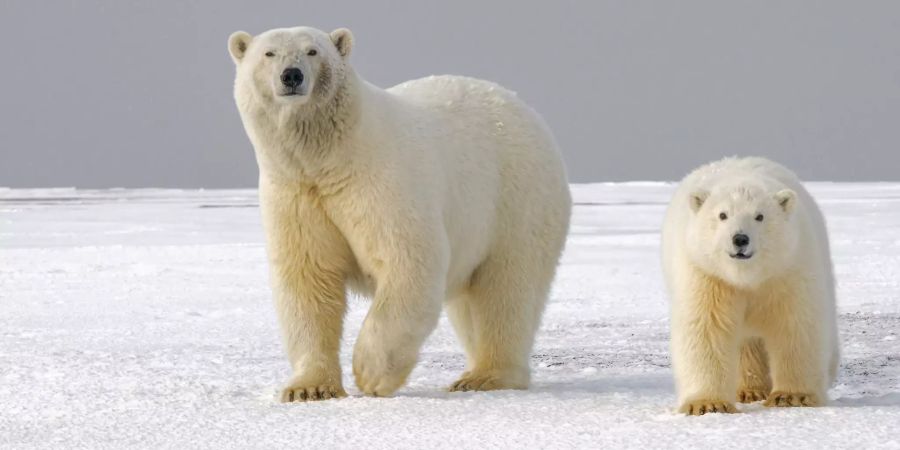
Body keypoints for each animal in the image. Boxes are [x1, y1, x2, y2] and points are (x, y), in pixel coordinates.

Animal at [229, 27, 572, 400]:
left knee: (506, 289)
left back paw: (486, 376)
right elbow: (308, 279)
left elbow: (407, 261)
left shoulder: (381, 182)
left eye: (312, 51)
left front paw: (370, 373)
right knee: (471, 302)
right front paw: (309, 388)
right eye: (269, 53)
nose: (291, 75)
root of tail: (524, 108)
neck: (331, 158)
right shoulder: (295, 194)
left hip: (516, 199)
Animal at [656, 157, 840, 414]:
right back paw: (749, 390)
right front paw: (707, 404)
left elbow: (795, 324)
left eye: (759, 216)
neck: (747, 277)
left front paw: (792, 396)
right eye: (722, 215)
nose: (740, 239)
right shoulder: (707, 275)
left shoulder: (788, 269)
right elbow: (706, 328)